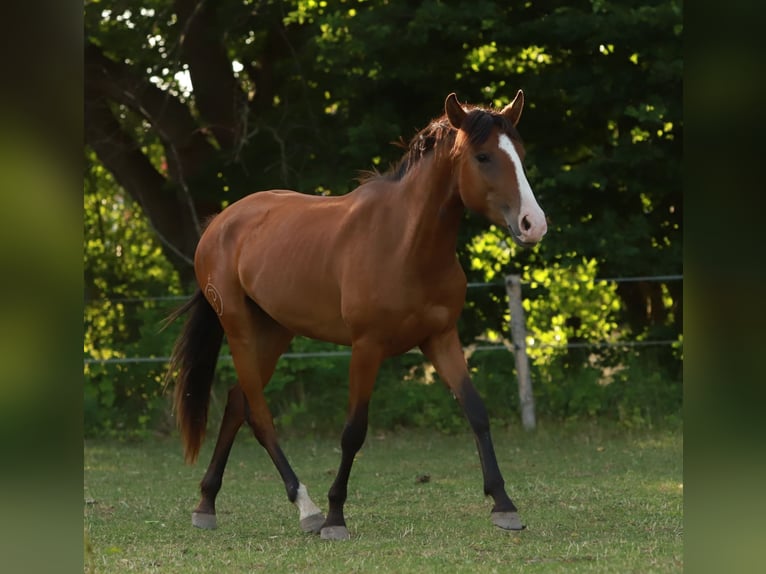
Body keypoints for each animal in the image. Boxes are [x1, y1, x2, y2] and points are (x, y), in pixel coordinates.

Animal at [165, 91, 547, 540]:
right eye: (484, 156)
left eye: (521, 153)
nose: (534, 224)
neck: (405, 245)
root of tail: (218, 224)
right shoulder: (367, 347)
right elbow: (353, 432)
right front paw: (335, 516)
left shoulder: (441, 338)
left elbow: (477, 413)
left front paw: (504, 504)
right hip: (240, 329)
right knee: (257, 413)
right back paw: (307, 507)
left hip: (273, 331)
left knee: (236, 403)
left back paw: (206, 503)